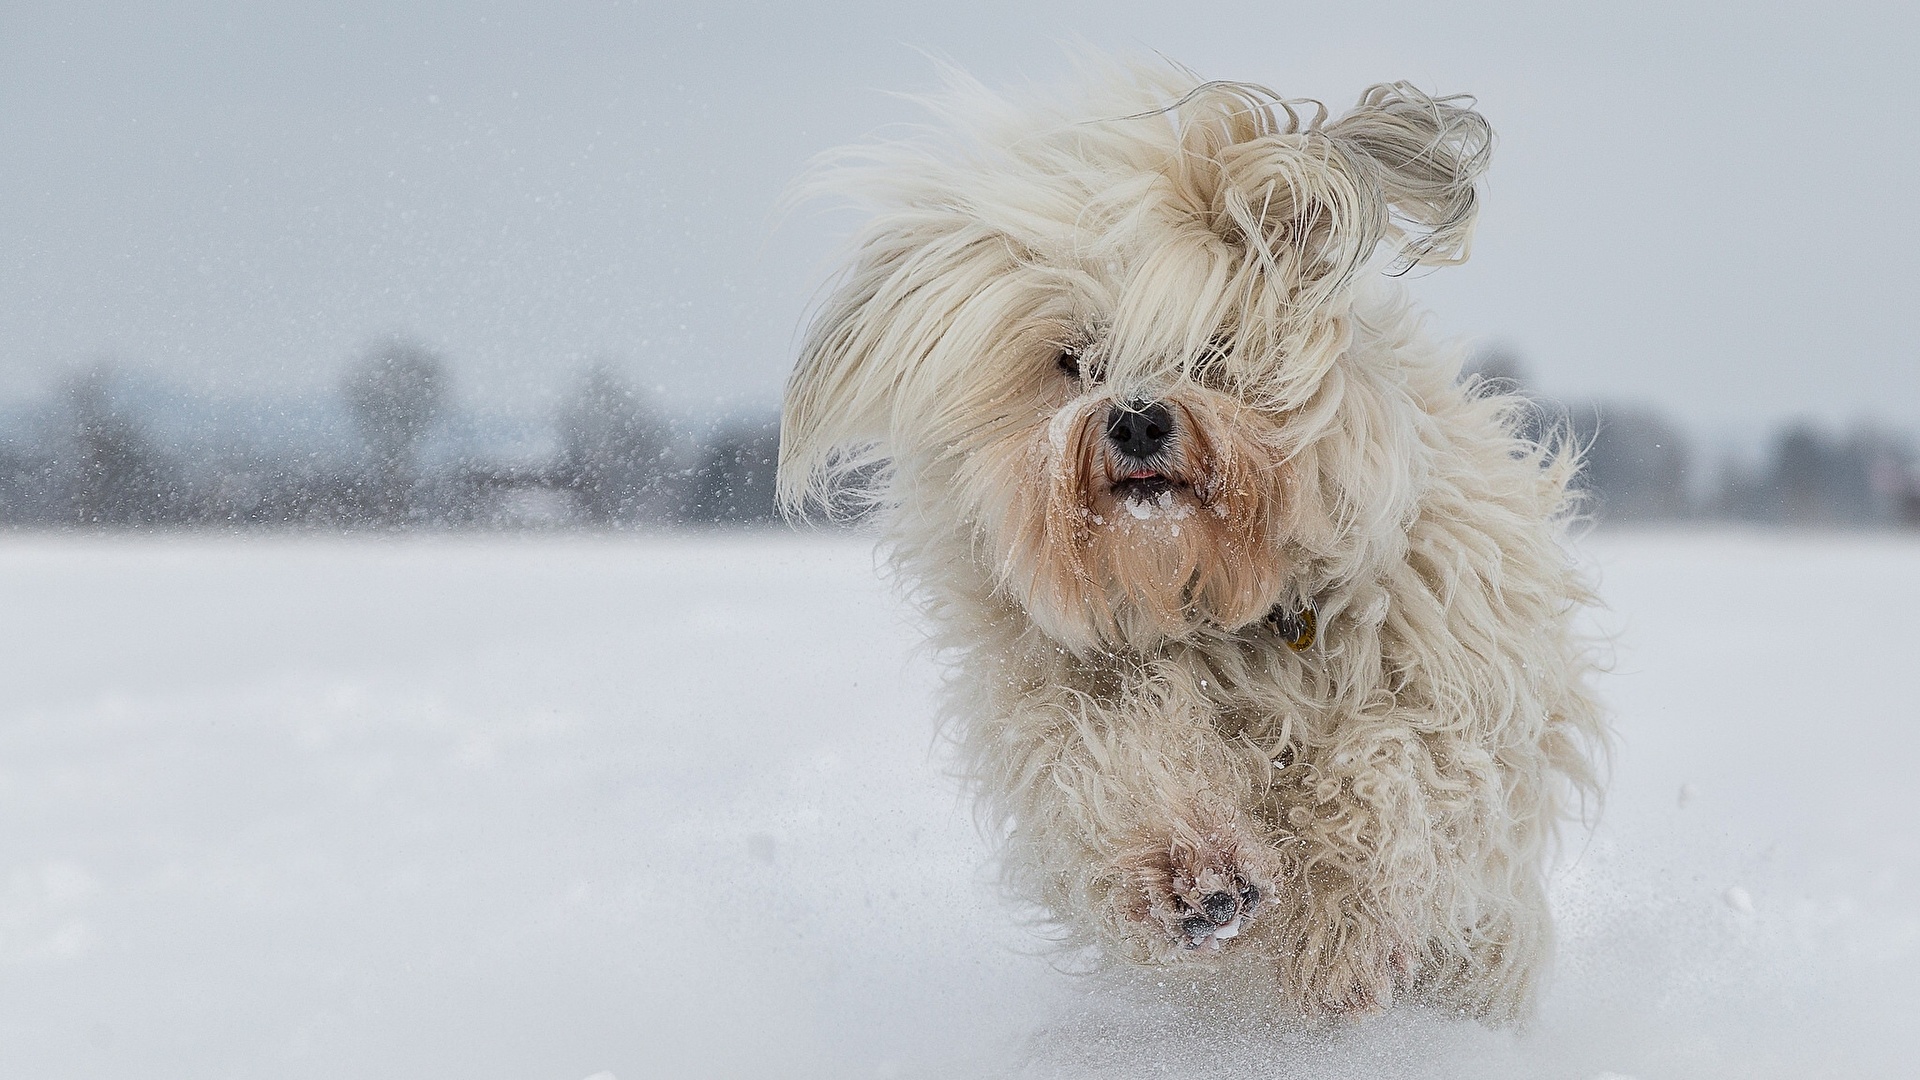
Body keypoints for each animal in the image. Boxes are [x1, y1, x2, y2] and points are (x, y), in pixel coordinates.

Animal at [775, 62, 1605, 1022]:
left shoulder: (1447, 690)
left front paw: (1341, 938)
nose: (1136, 419)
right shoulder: (1067, 699)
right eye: (1076, 360)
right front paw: (1194, 871)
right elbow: (1120, 756)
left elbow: (1390, 774)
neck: (1214, 596)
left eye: (1214, 349)